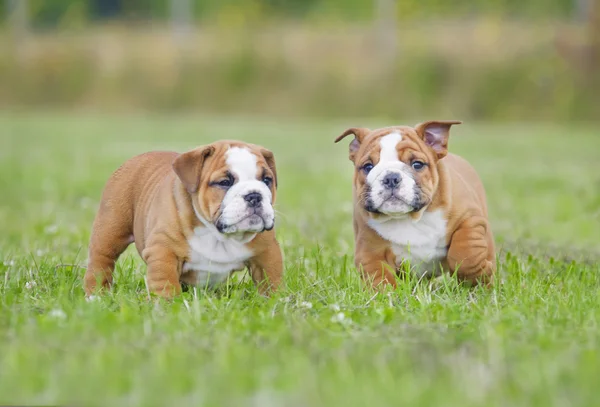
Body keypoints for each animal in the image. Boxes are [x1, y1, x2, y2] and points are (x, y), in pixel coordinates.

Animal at [82, 141, 286, 300]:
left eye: (266, 180)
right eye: (225, 182)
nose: (254, 195)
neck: (217, 235)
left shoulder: (267, 252)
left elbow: (271, 279)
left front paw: (275, 301)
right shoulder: (163, 251)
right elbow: (165, 281)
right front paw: (166, 305)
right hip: (110, 230)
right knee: (101, 261)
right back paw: (96, 295)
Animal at [336, 122, 494, 290]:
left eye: (417, 164)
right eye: (368, 167)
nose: (391, 177)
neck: (410, 217)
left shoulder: (470, 220)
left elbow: (465, 253)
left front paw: (477, 277)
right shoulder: (370, 252)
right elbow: (380, 278)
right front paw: (388, 294)